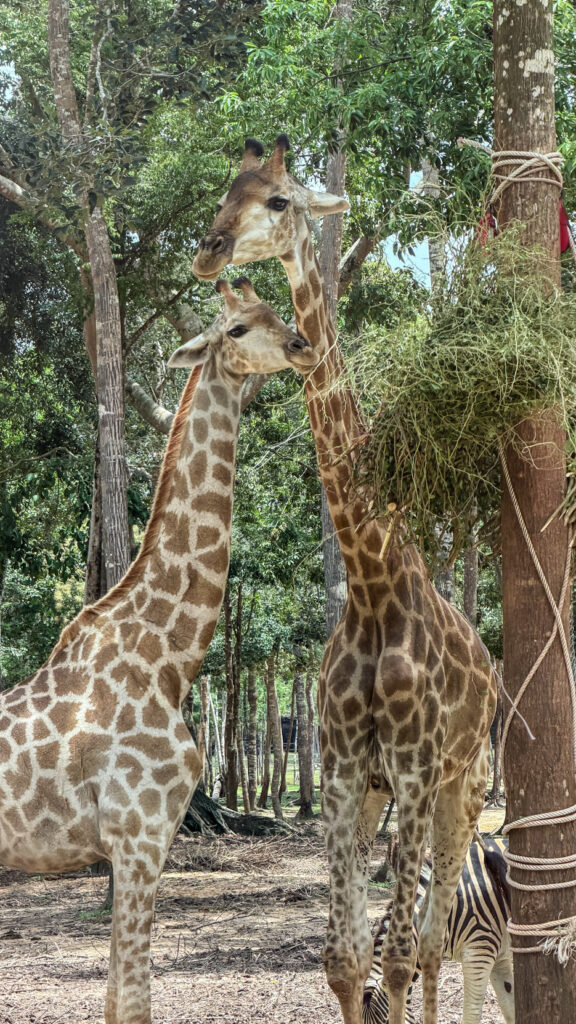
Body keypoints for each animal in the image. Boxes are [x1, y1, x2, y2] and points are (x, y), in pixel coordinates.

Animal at [0, 277, 316, 1024]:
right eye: (236, 328)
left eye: (274, 310)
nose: (301, 344)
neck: (170, 656)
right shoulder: (139, 837)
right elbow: (132, 1000)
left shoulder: (143, 842)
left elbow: (121, 996)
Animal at [192, 137, 498, 1024]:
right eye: (226, 191)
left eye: (279, 200)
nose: (208, 250)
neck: (370, 580)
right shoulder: (339, 772)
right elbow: (342, 958)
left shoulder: (418, 770)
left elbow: (392, 959)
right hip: (382, 795)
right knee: (411, 944)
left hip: (463, 789)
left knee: (428, 944)